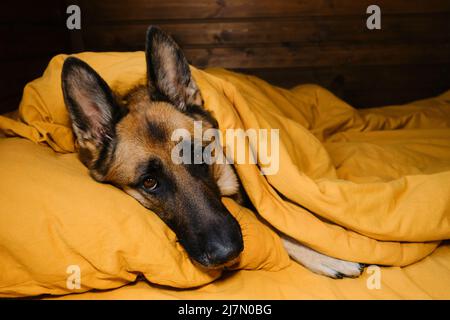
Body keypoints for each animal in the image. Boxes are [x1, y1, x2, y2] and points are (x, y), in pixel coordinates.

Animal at [60, 26, 362, 278]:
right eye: (149, 182)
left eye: (199, 156)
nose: (227, 252)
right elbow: (268, 224)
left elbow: (274, 220)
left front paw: (325, 253)